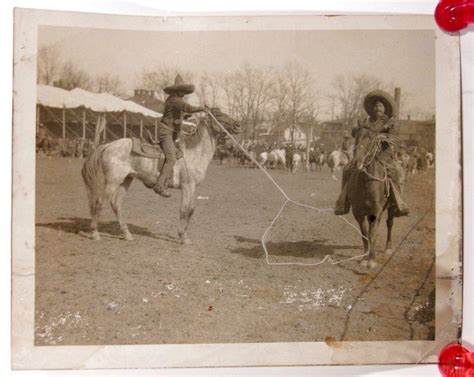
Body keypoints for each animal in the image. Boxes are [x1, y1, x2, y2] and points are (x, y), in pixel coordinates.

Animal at [346, 128, 398, 268]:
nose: (357, 162)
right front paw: (365, 257)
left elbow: (372, 234)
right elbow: (365, 233)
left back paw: (388, 248)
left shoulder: (376, 211)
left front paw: (372, 260)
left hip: (390, 208)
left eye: (370, 140)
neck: (366, 184)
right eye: (356, 138)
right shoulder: (358, 212)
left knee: (389, 223)